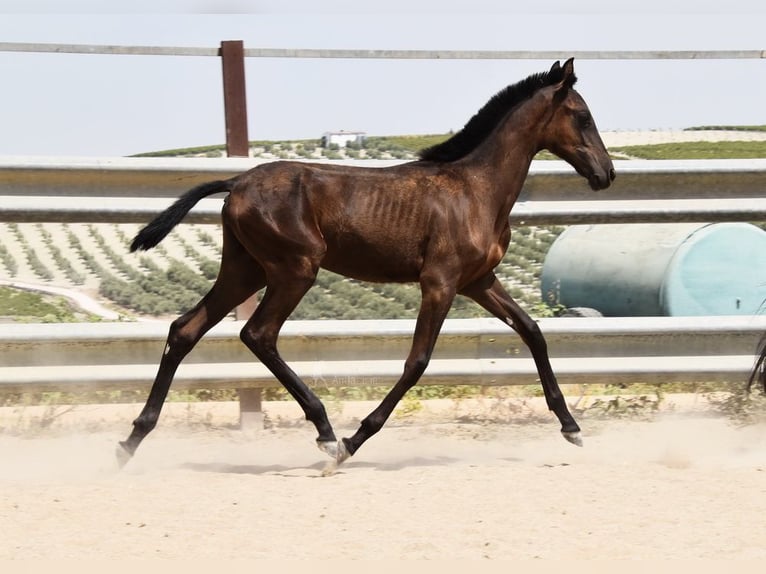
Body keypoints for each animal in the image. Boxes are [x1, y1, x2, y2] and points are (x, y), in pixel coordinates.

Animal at [117, 58, 615, 472]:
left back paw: (132, 440)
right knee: (257, 334)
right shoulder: (440, 282)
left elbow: (533, 332)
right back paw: (325, 432)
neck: (476, 190)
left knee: (185, 329)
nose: (606, 174)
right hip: (294, 269)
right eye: (583, 116)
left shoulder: (479, 281)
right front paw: (353, 442)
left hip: (245, 270)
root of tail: (236, 180)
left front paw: (571, 427)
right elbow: (417, 362)